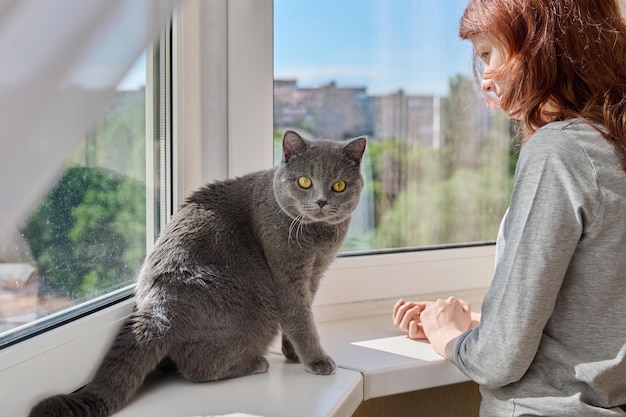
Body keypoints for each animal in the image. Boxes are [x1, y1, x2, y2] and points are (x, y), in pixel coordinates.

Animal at [29, 130, 366, 416]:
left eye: (338, 185)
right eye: (304, 182)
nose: (321, 201)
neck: (318, 239)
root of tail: (158, 310)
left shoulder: (314, 275)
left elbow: (302, 315)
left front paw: (293, 353)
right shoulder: (287, 275)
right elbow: (300, 318)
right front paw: (316, 360)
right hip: (258, 314)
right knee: (197, 371)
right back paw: (255, 363)